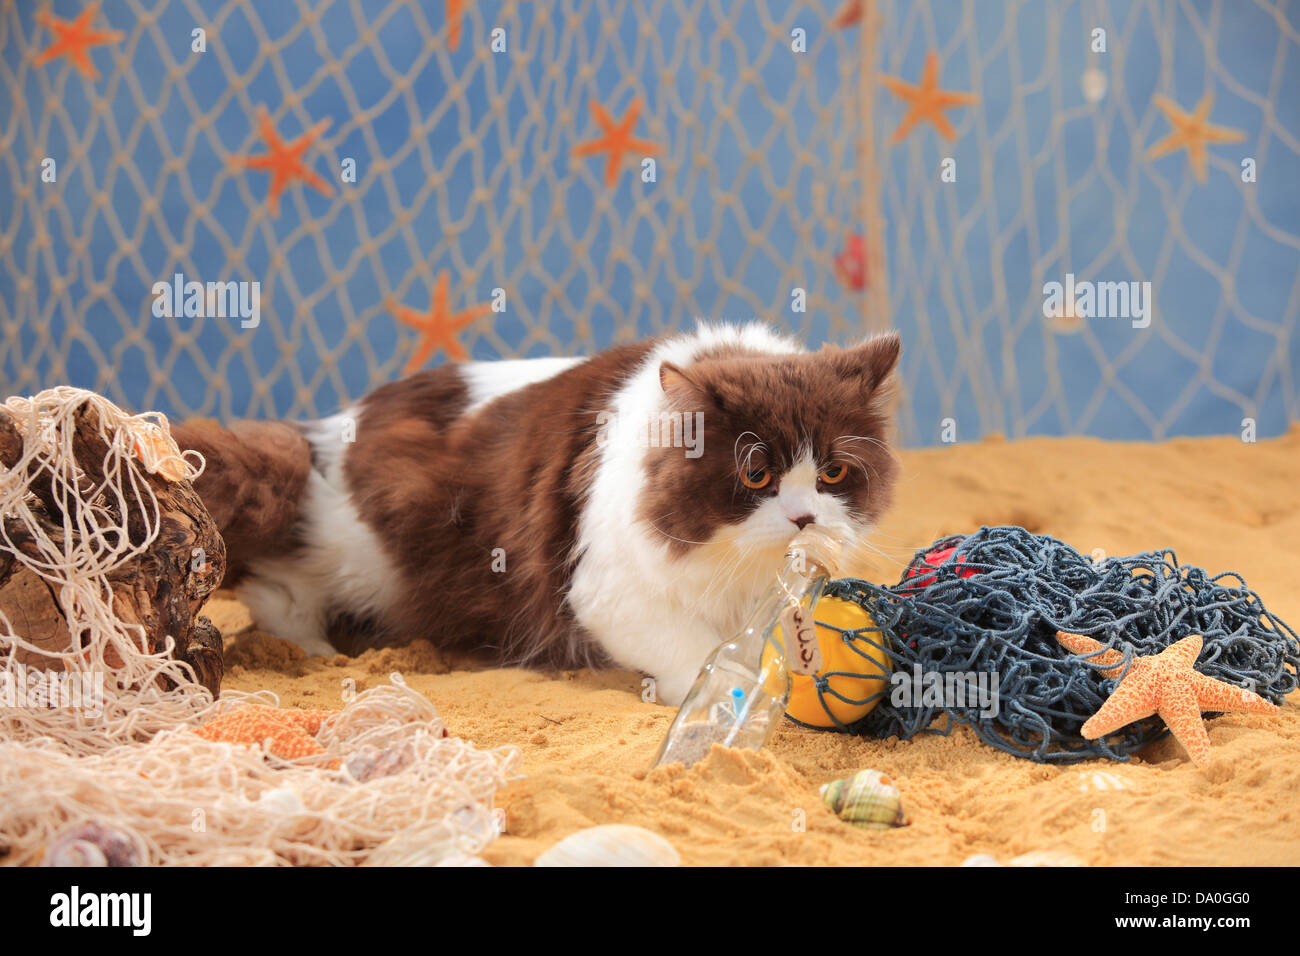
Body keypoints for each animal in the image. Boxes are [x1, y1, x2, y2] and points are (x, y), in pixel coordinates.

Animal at [178, 325, 899, 707]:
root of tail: (326, 433)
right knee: (276, 587)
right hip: (359, 553)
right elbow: (699, 659)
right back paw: (317, 649)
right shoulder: (609, 591)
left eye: (833, 474)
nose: (805, 519)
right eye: (756, 476)